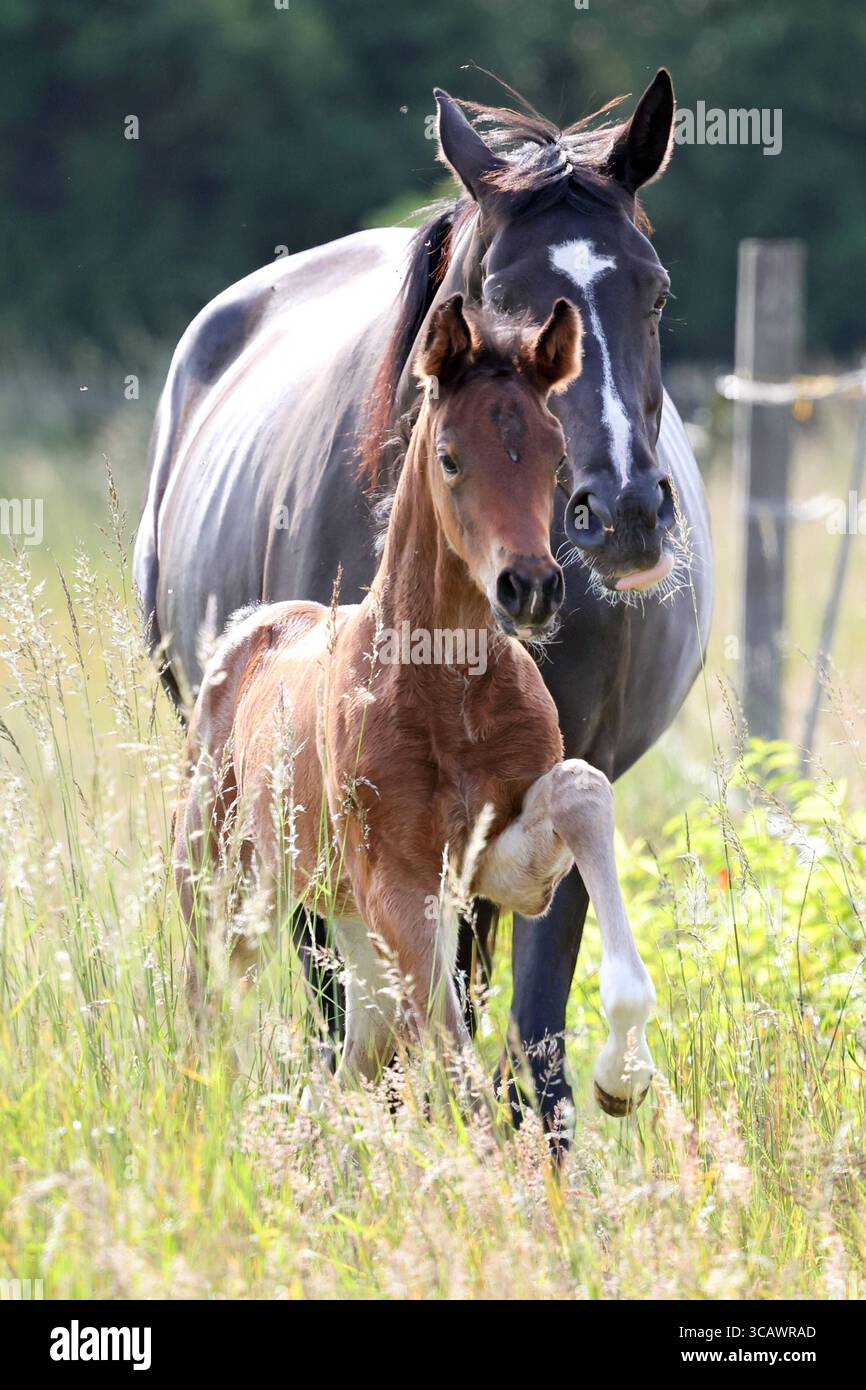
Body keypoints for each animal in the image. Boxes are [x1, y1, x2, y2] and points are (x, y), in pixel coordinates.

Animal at [173, 294, 656, 1115]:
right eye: (451, 457)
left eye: (556, 456)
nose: (531, 588)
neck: (448, 694)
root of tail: (245, 632)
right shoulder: (400, 883)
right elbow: (453, 1052)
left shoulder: (498, 870)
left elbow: (580, 789)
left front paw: (622, 1073)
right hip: (225, 888)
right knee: (208, 1009)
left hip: (349, 926)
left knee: (355, 1063)